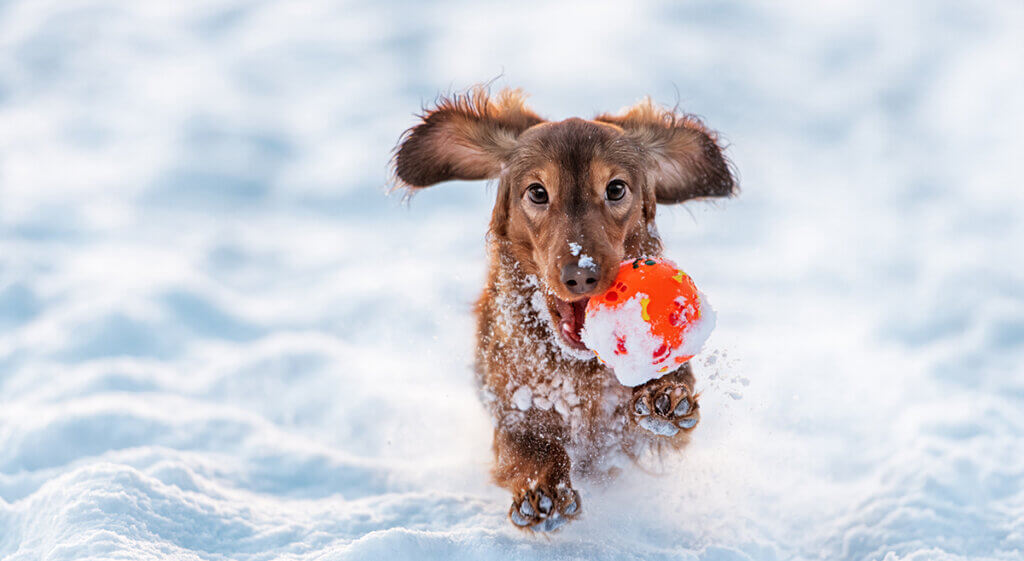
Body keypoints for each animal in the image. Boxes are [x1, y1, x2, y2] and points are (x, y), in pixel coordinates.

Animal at [387, 87, 733, 532]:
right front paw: (543, 491)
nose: (580, 274)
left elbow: (664, 405)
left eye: (616, 189)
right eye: (537, 192)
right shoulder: (512, 404)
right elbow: (528, 444)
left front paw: (664, 395)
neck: (576, 370)